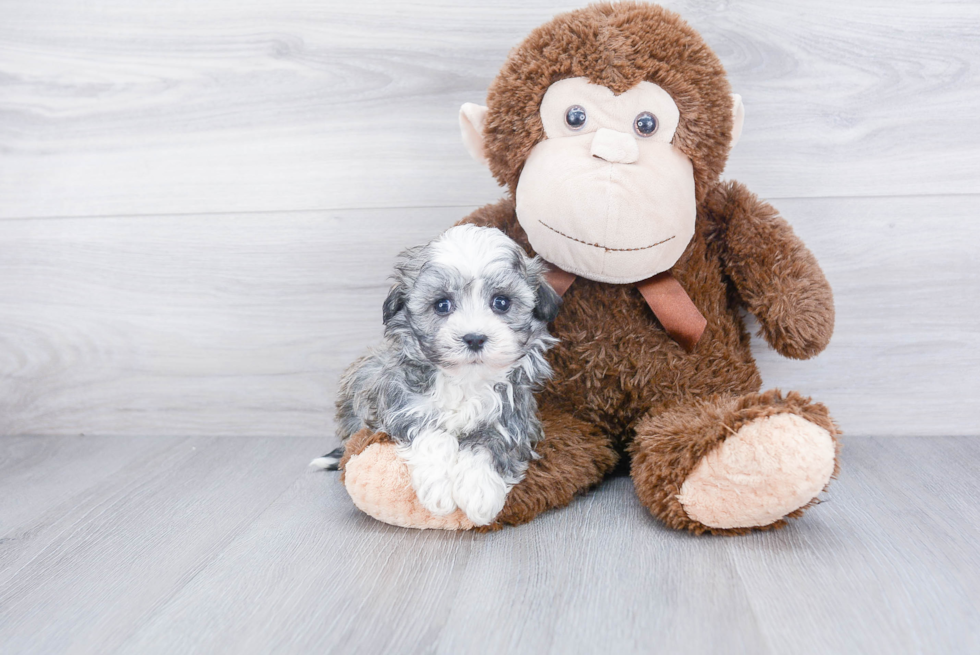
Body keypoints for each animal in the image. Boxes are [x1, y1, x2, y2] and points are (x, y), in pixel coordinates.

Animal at [314, 227, 560, 528]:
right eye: (442, 305)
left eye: (501, 302)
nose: (474, 338)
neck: (464, 380)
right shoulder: (399, 403)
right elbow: (430, 432)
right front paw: (439, 488)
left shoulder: (514, 416)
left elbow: (490, 442)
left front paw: (479, 491)